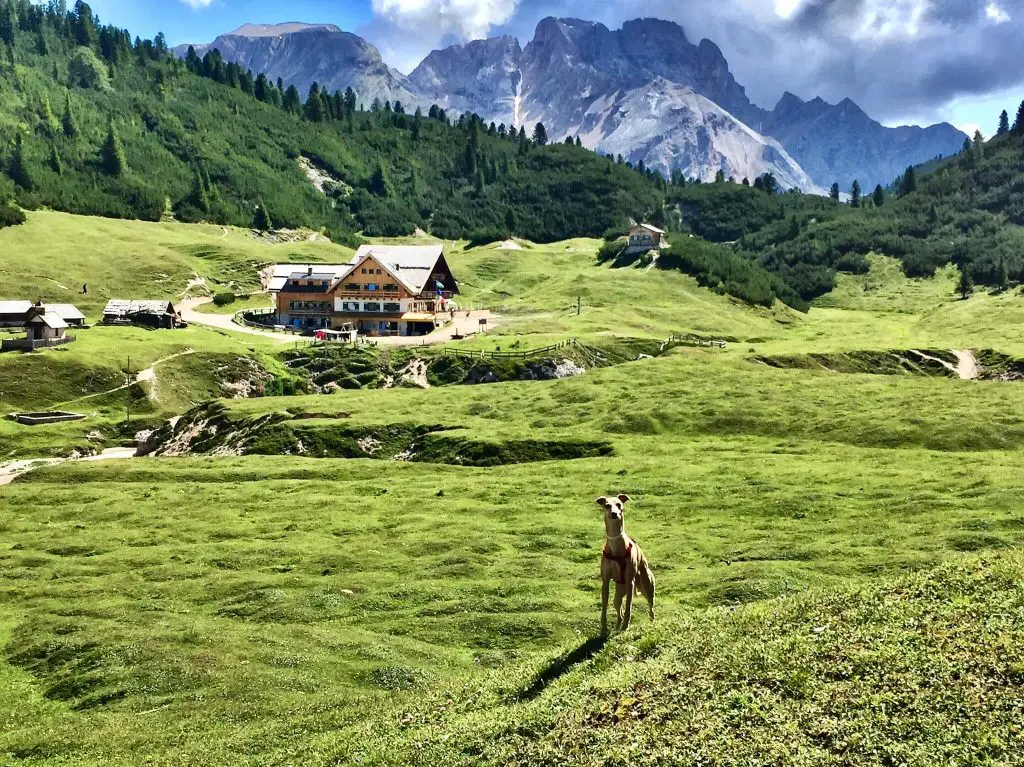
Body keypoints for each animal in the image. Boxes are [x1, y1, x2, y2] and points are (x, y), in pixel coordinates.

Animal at [598, 493, 655, 630]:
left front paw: (625, 626)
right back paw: (618, 624)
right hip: (619, 593)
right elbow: (604, 606)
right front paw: (604, 628)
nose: (614, 513)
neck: (615, 545)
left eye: (619, 504)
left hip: (647, 587)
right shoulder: (605, 581)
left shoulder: (630, 582)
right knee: (618, 608)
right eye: (607, 505)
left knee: (651, 607)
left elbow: (629, 605)